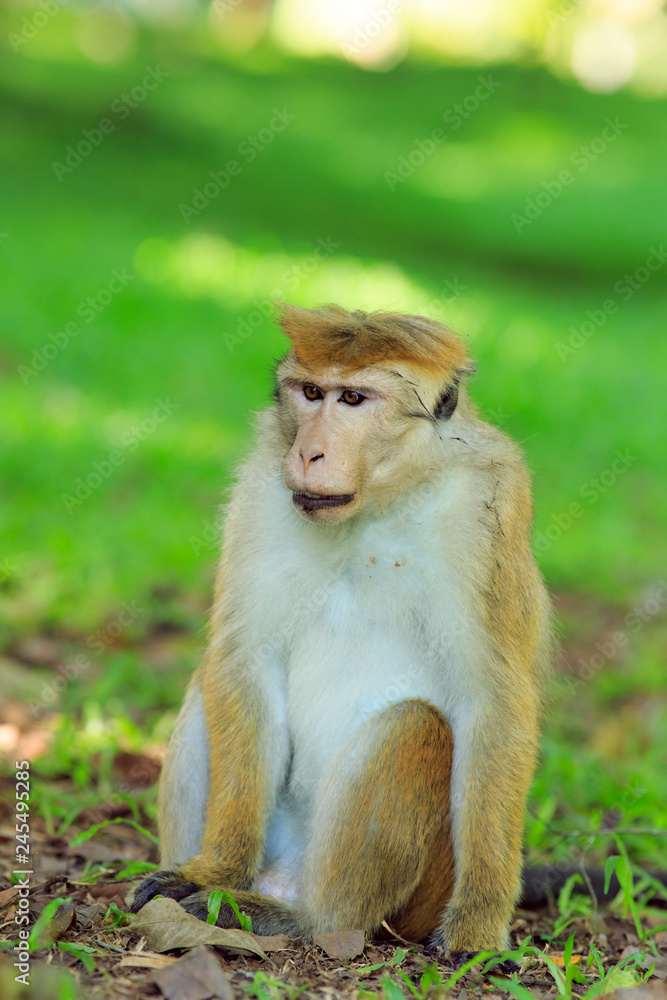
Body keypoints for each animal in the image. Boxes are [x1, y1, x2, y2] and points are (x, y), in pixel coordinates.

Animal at [131, 303, 553, 959]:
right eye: (310, 393)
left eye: (353, 398)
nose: (309, 453)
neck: (379, 503)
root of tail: (286, 878)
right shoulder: (260, 488)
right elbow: (244, 659)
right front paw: (213, 871)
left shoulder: (492, 505)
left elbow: (493, 703)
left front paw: (479, 925)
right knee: (210, 683)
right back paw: (228, 889)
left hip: (415, 894)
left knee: (413, 726)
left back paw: (305, 922)